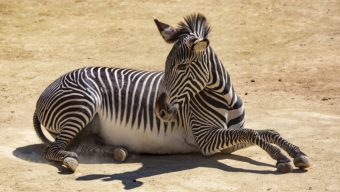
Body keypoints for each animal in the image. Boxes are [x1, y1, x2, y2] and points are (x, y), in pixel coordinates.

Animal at [33, 13, 310, 172]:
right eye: (165, 66)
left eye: (182, 67)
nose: (160, 110)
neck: (226, 101)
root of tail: (46, 90)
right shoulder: (206, 140)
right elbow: (254, 133)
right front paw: (281, 157)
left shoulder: (226, 139)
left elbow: (266, 131)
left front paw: (296, 153)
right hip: (82, 104)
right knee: (54, 149)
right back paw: (70, 159)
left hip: (89, 125)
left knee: (84, 144)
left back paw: (118, 152)